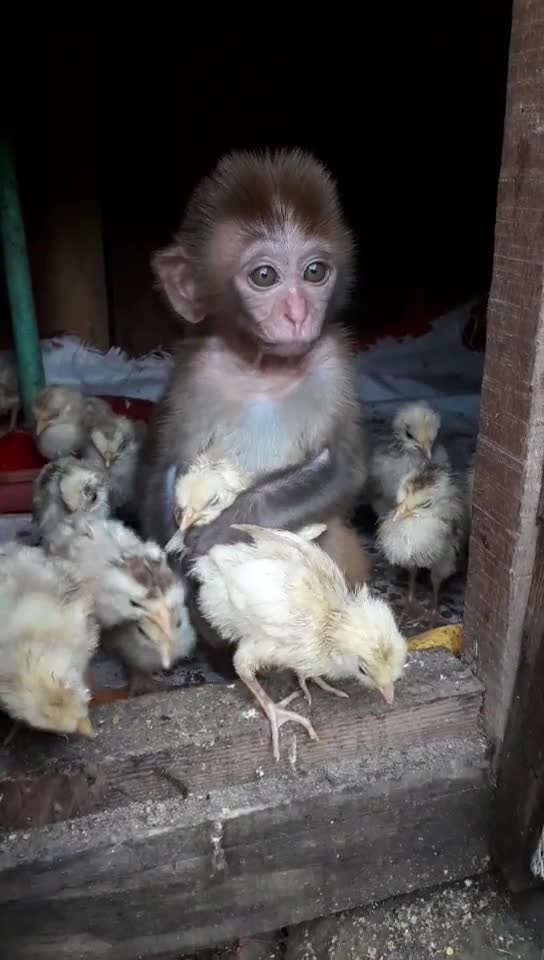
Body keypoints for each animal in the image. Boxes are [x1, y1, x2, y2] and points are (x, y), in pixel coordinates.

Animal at [136, 147, 369, 674]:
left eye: (314, 272)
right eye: (265, 276)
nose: (298, 314)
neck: (264, 368)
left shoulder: (333, 362)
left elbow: (341, 468)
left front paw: (221, 531)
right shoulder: (195, 371)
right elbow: (162, 468)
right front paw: (181, 572)